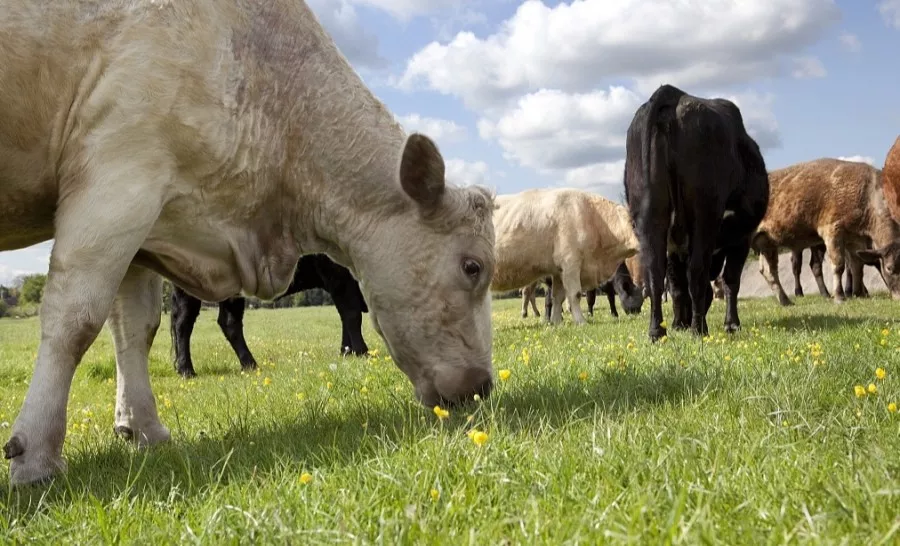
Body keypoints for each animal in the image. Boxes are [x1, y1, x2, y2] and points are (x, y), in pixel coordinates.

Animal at [169, 253, 370, 376]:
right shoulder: (338, 273)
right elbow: (351, 313)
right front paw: (362, 352)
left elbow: (346, 316)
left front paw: (347, 352)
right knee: (184, 323)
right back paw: (187, 370)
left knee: (228, 322)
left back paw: (250, 365)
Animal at [492, 188, 640, 324]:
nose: (637, 312)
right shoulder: (571, 262)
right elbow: (575, 294)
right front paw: (581, 321)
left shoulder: (558, 271)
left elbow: (558, 297)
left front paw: (557, 322)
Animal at [624, 84, 768, 340]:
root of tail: (674, 94)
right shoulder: (742, 238)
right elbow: (730, 280)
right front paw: (731, 324)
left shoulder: (674, 246)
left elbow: (676, 286)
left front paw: (678, 323)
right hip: (703, 216)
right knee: (697, 272)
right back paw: (698, 329)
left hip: (649, 215)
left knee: (655, 275)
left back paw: (657, 331)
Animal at [752, 157, 900, 304]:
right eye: (889, 268)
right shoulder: (832, 230)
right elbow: (839, 265)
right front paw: (840, 296)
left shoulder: (855, 239)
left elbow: (857, 266)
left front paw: (859, 294)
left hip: (766, 241)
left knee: (768, 270)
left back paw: (785, 301)